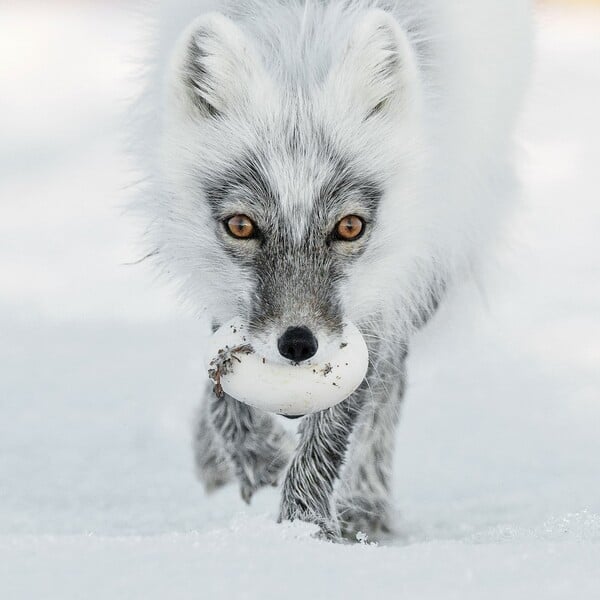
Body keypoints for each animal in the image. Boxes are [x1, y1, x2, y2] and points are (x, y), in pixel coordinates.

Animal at [138, 0, 532, 540]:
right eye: (241, 225)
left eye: (349, 227)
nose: (298, 344)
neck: (303, 41)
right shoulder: (224, 290)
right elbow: (223, 381)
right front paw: (254, 455)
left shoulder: (380, 297)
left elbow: (337, 424)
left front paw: (305, 530)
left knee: (390, 384)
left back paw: (365, 504)